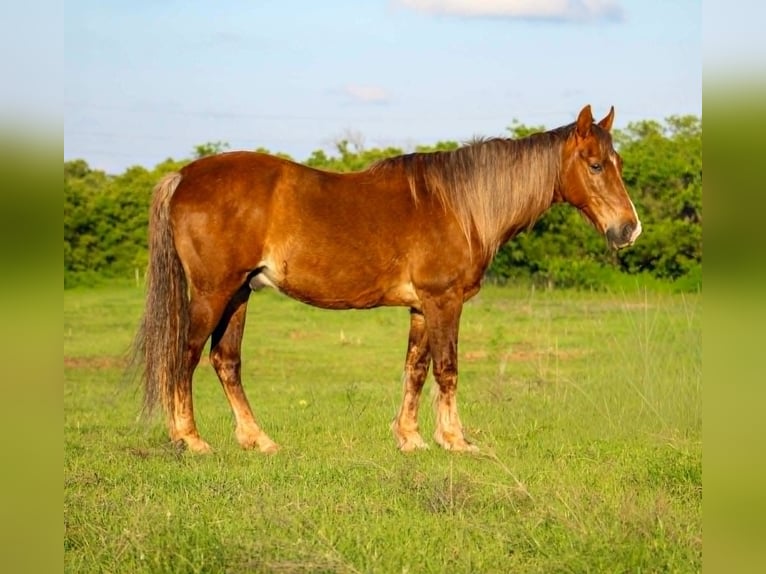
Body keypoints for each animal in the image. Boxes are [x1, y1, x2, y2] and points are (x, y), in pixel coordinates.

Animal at [132, 105, 641, 454]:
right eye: (595, 165)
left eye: (618, 163)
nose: (628, 229)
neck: (459, 205)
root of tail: (183, 176)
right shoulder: (443, 301)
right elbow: (448, 368)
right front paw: (456, 440)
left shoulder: (421, 306)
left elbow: (415, 369)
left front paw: (411, 438)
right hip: (213, 293)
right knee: (185, 355)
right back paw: (190, 440)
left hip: (239, 293)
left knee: (226, 361)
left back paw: (258, 439)